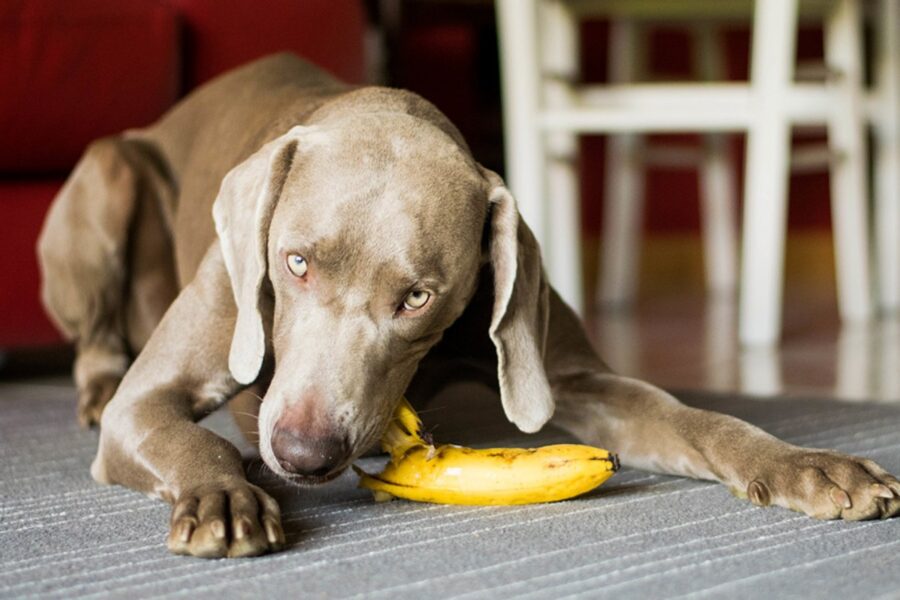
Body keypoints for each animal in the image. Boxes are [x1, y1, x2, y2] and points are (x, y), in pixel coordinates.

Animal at [38, 52, 900, 556]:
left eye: (417, 298)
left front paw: (806, 465)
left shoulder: (569, 370)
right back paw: (94, 390)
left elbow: (696, 419)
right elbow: (189, 437)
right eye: (295, 263)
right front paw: (224, 496)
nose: (304, 454)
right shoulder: (151, 401)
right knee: (99, 343)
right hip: (108, 174)